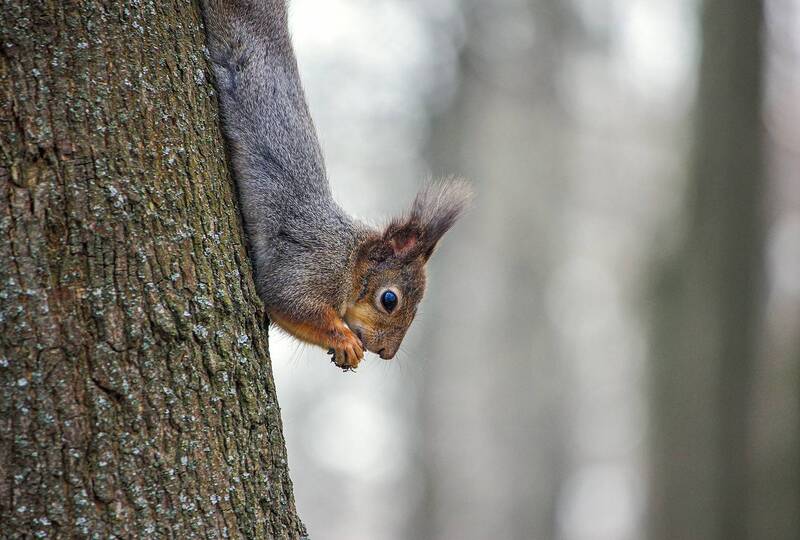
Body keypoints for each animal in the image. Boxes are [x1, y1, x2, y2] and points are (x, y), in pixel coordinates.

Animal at [201, 0, 471, 370]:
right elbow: (288, 300)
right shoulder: (312, 265)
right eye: (389, 299)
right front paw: (343, 338)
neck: (351, 256)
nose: (387, 354)